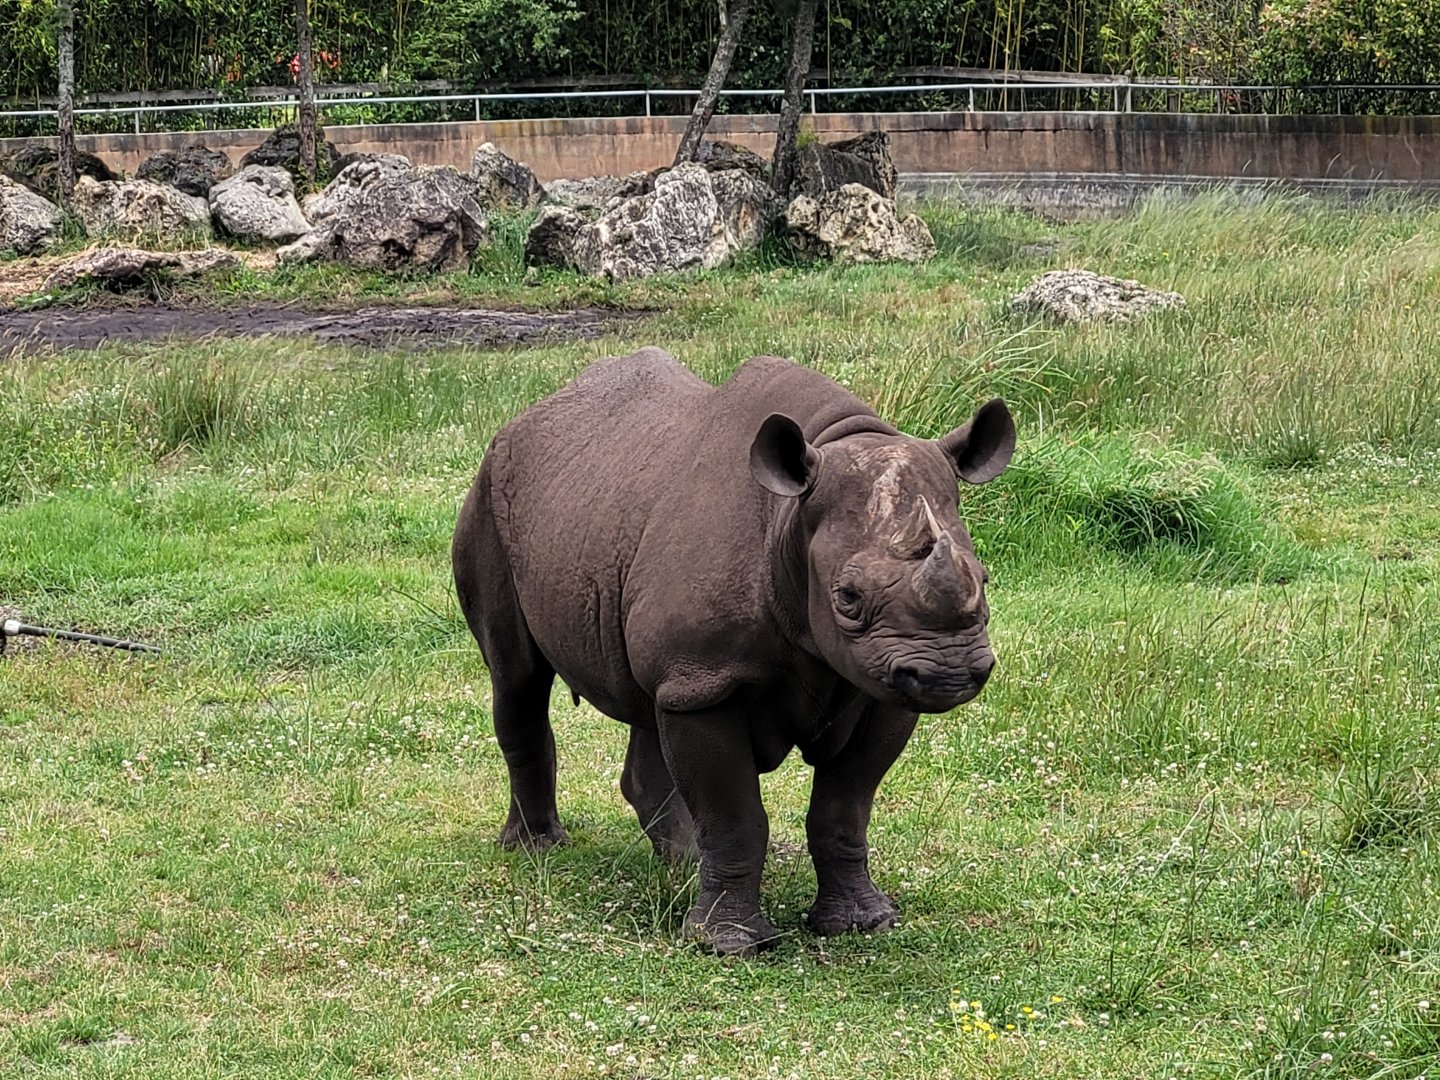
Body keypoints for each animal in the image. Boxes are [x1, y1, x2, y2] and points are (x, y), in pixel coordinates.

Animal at [452, 348, 1014, 955]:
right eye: (847, 597)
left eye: (984, 579)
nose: (951, 673)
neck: (790, 523)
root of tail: (523, 418)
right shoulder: (708, 680)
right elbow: (736, 816)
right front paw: (730, 945)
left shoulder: (876, 689)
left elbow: (845, 810)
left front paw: (863, 922)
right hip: (489, 495)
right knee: (517, 678)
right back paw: (538, 849)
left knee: (650, 701)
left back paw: (680, 862)